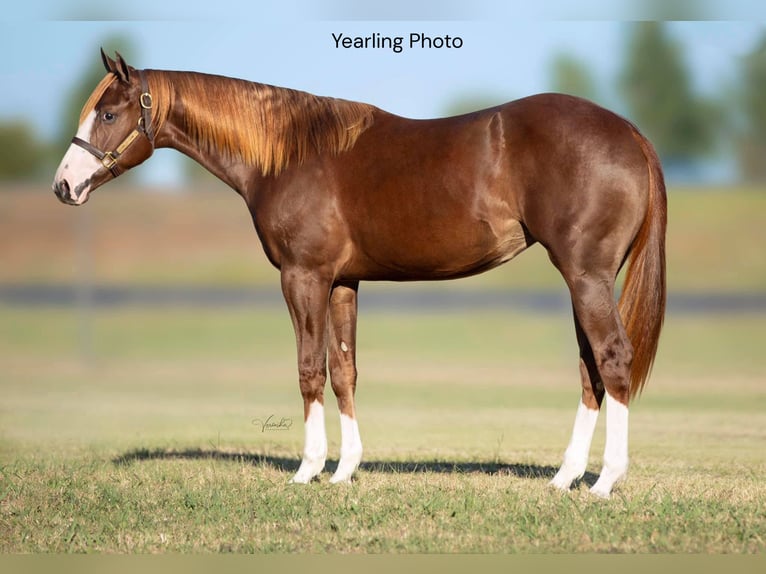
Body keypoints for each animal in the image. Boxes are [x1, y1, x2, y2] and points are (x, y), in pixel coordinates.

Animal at [53, 50, 666, 498]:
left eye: (108, 114)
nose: (63, 186)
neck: (289, 155)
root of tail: (630, 133)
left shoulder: (303, 277)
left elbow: (308, 370)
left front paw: (307, 470)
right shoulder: (343, 283)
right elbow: (344, 371)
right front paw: (345, 470)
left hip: (585, 275)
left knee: (612, 358)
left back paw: (605, 482)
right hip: (584, 280)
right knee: (590, 368)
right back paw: (565, 478)